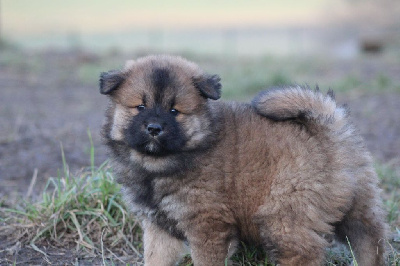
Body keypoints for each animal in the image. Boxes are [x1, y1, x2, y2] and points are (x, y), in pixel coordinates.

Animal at [100, 54, 388, 266]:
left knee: (304, 253)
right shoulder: (159, 226)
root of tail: (327, 130)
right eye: (140, 107)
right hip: (360, 206)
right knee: (369, 240)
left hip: (284, 217)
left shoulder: (208, 224)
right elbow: (155, 258)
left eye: (174, 111)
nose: (154, 128)